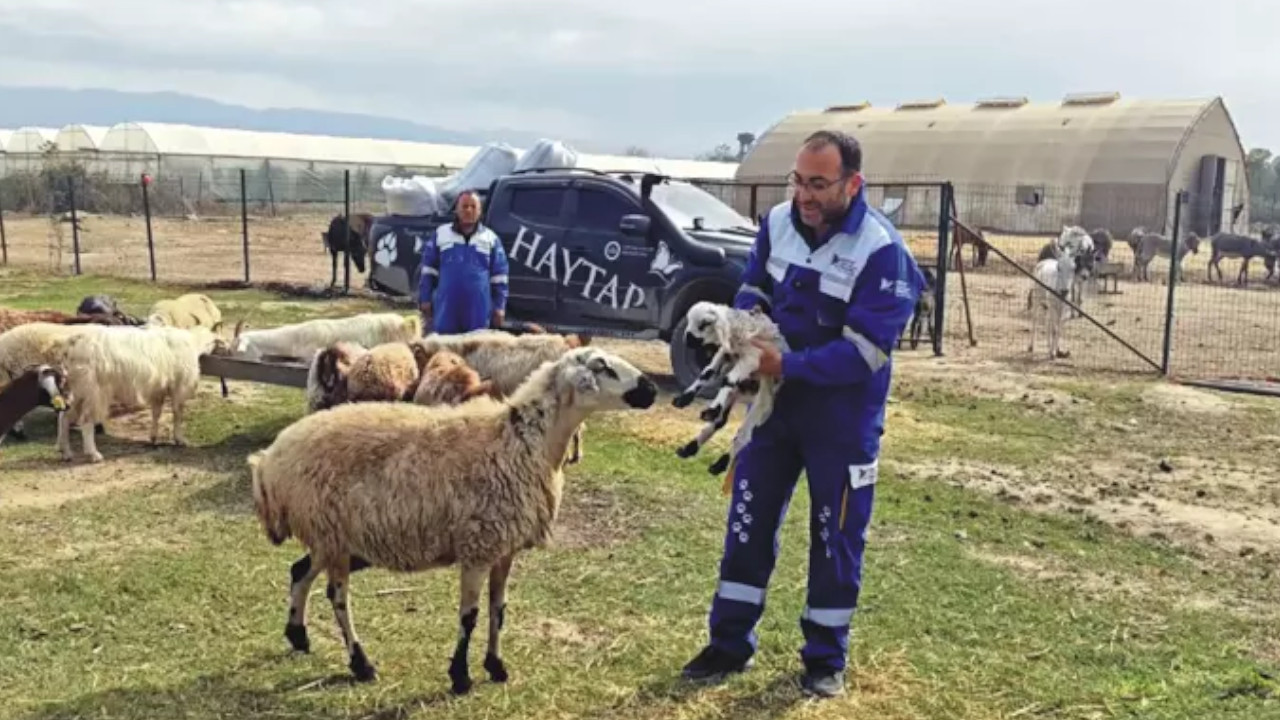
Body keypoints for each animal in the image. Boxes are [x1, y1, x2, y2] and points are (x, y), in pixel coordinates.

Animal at [56, 324, 225, 458]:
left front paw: (153, 437)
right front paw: (180, 439)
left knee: (64, 417)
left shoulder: (158, 389)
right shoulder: (179, 386)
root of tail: (73, 343)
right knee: (85, 420)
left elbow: (156, 413)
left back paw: (66, 452)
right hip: (93, 391)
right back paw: (94, 454)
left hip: (78, 390)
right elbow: (178, 413)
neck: (194, 342)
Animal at [247, 345, 660, 691]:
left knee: (300, 572)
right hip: (330, 530)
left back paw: (299, 636)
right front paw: (460, 676)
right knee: (336, 597)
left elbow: (498, 611)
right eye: (602, 366)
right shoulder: (479, 546)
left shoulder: (505, 549)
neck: (523, 442)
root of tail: (269, 462)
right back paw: (360, 663)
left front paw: (496, 666)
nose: (652, 390)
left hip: (330, 537)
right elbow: (469, 616)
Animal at [665, 299, 783, 479]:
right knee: (720, 421)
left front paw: (711, 407)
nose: (688, 339)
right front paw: (683, 399)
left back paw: (720, 464)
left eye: (704, 324)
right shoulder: (724, 353)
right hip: (737, 392)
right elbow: (707, 373)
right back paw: (690, 448)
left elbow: (727, 380)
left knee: (743, 435)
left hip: (761, 403)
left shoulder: (752, 358)